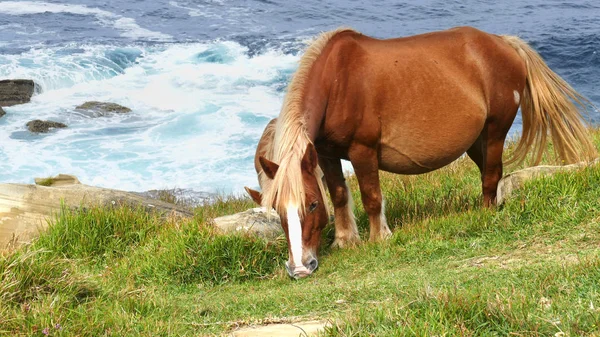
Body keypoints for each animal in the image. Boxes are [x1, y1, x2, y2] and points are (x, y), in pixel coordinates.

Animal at [243, 26, 596, 278]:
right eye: (277, 210)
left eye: (312, 205)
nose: (300, 268)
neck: (337, 81)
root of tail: (505, 43)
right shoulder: (327, 153)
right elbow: (341, 195)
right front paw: (345, 240)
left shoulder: (362, 151)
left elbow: (372, 197)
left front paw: (380, 238)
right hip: (477, 140)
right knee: (489, 172)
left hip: (495, 130)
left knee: (491, 174)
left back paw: (484, 213)